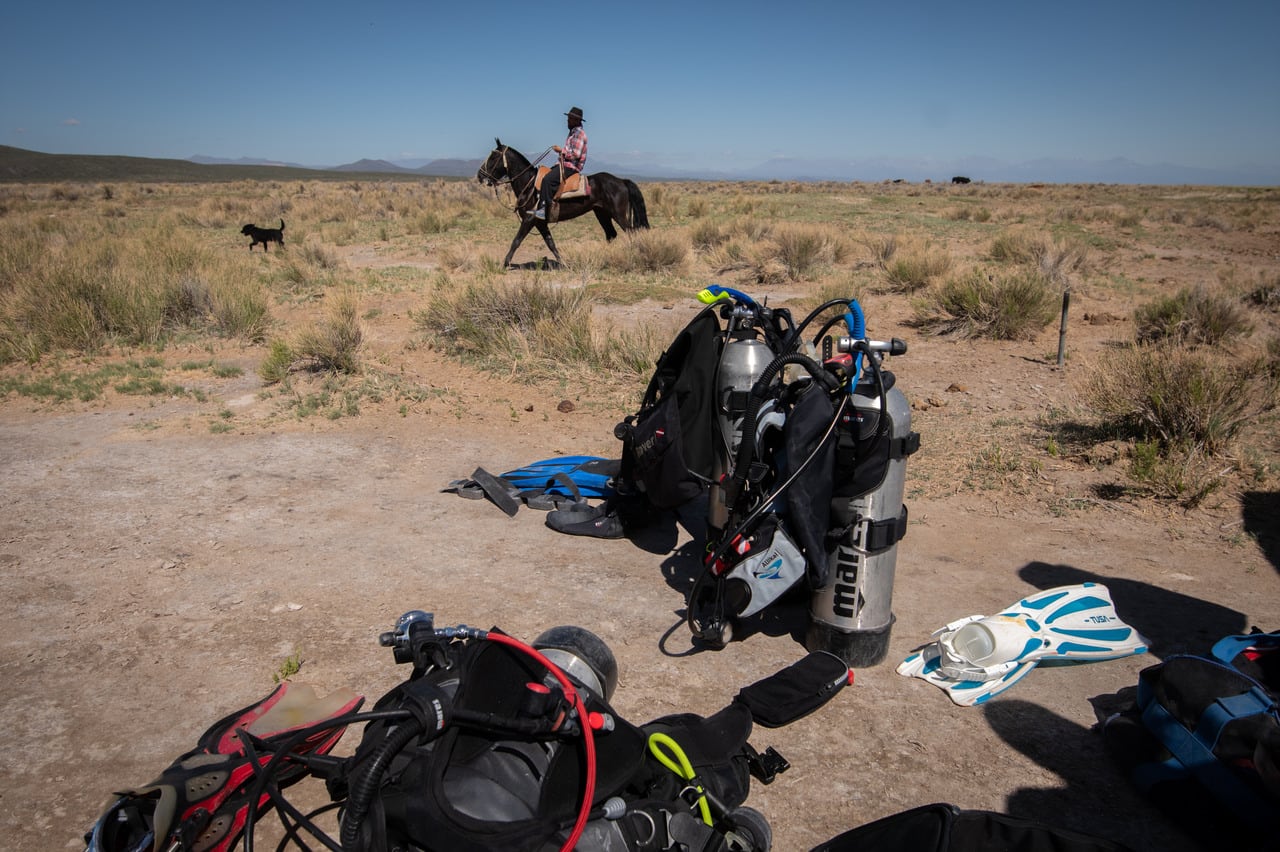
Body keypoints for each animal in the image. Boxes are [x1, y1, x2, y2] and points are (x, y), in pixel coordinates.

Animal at [478, 137, 650, 267]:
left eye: (493, 157)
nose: (480, 175)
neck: (529, 184)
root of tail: (621, 181)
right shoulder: (540, 222)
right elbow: (550, 243)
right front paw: (564, 264)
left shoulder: (529, 219)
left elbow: (516, 241)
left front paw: (505, 263)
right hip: (602, 213)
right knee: (611, 234)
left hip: (618, 214)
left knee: (632, 233)